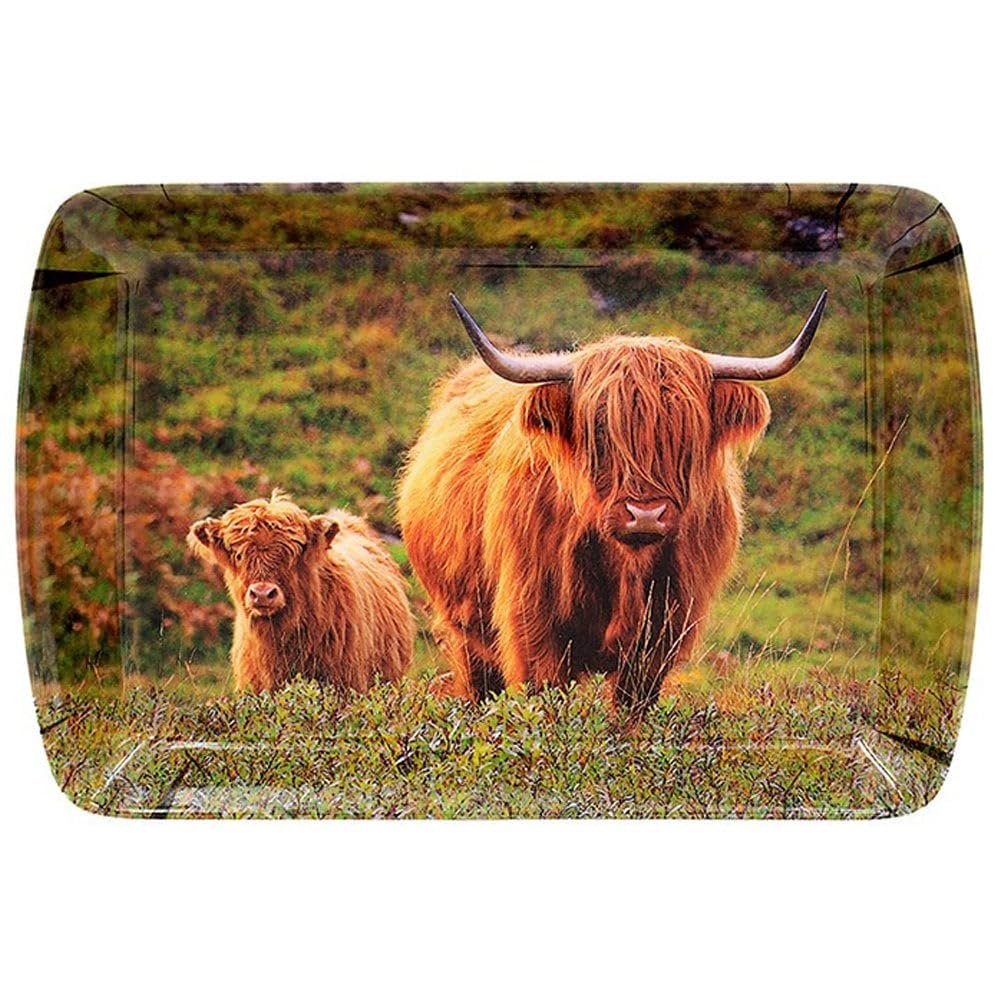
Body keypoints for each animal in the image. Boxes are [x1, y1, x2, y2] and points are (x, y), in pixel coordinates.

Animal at [398, 290, 827, 713]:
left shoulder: (662, 634)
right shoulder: (533, 624)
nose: (646, 515)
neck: (624, 568)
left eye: (684, 431)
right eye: (600, 429)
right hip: (463, 626)